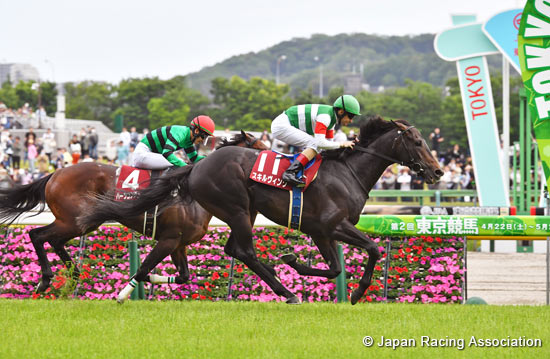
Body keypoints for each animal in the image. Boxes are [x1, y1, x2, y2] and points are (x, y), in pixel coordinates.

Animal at [0, 131, 268, 296]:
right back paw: (46, 280)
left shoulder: (178, 243)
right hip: (74, 221)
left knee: (54, 241)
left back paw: (74, 275)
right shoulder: (168, 239)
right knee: (37, 235)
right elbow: (143, 269)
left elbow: (181, 276)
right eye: (261, 149)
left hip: (82, 222)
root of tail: (54, 174)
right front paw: (124, 293)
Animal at [81, 116, 444, 306]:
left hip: (245, 211)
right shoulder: (333, 225)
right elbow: (370, 250)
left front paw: (295, 262)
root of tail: (196, 167)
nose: (438, 171)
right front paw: (354, 292)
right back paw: (287, 292)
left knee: (235, 249)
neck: (347, 172)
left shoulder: (321, 231)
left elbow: (335, 268)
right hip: (237, 208)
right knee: (244, 251)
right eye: (416, 141)